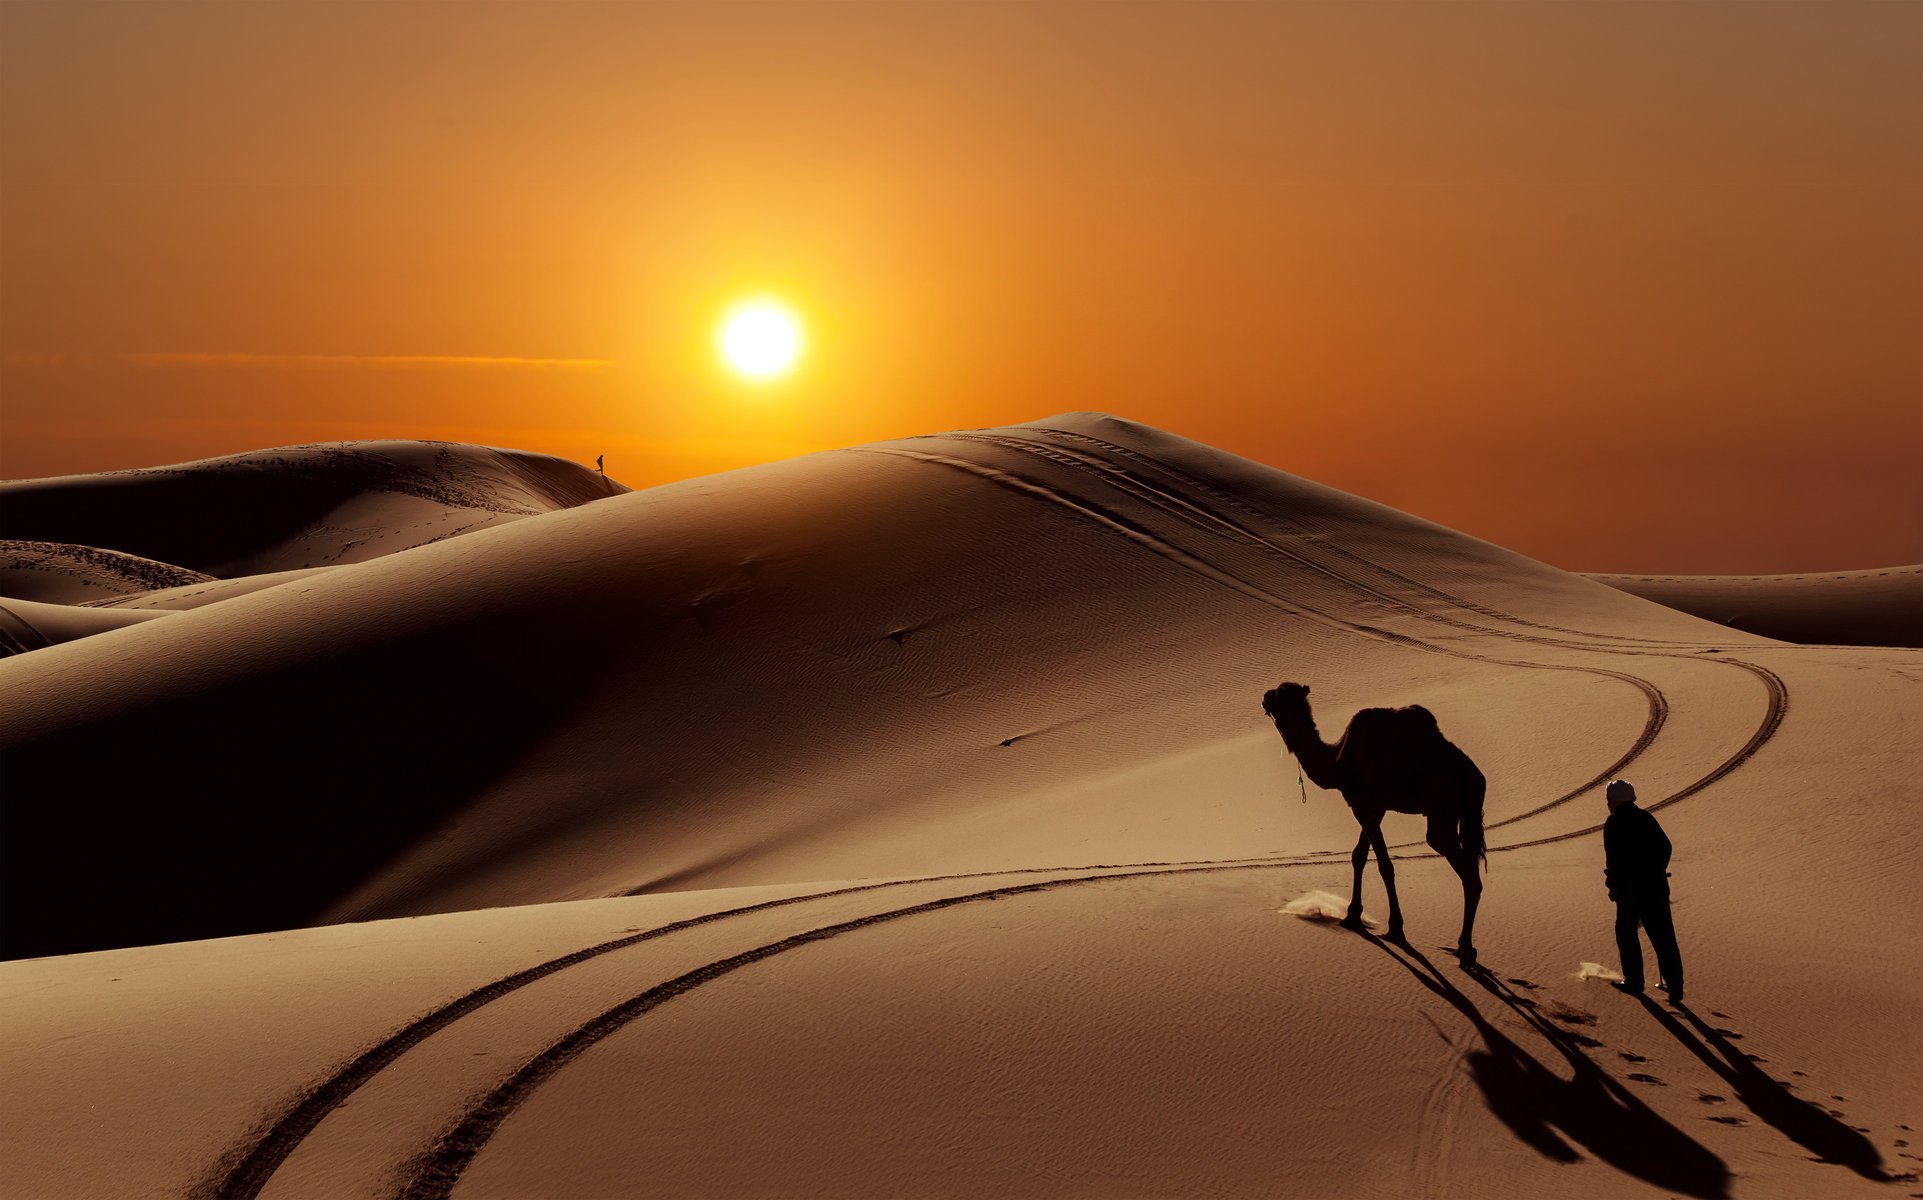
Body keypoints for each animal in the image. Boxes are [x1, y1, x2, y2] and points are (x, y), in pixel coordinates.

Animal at [1261, 681, 1487, 963]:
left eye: (1280, 694)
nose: (1264, 697)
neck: (1337, 760)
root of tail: (1473, 776)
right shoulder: (1376, 806)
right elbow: (1358, 855)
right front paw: (1352, 915)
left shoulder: (1362, 801)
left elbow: (1383, 864)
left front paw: (1395, 928)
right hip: (1468, 813)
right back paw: (1467, 947)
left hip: (1441, 807)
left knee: (1464, 870)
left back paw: (1464, 946)